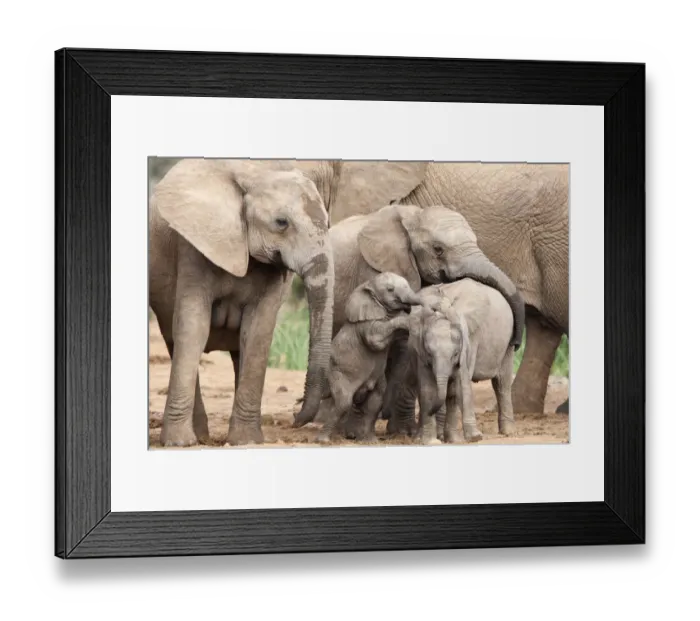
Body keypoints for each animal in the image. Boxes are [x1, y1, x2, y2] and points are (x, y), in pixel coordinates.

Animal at [148, 158, 335, 447]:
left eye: (328, 222)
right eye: (281, 222)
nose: (295, 420)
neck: (253, 174)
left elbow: (258, 333)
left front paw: (246, 441)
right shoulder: (193, 247)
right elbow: (194, 328)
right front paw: (178, 443)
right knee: (174, 340)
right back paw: (199, 437)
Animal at [297, 272, 423, 444]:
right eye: (390, 289)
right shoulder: (364, 325)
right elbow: (375, 339)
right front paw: (409, 320)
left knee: (375, 401)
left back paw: (370, 440)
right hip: (338, 374)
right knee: (343, 403)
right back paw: (323, 440)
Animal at [383, 279, 516, 445]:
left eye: (455, 354)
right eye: (429, 352)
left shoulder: (470, 338)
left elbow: (458, 385)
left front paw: (469, 438)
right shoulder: (420, 352)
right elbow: (428, 389)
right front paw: (430, 440)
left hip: (507, 343)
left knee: (502, 383)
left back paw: (508, 432)